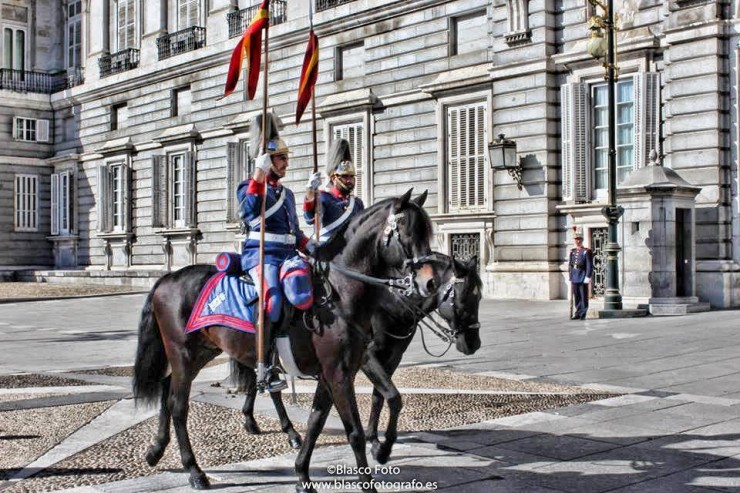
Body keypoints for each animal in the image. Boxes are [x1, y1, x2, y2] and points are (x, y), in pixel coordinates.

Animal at [132, 187, 440, 488]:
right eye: (407, 232)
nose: (430, 283)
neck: (339, 294)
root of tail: (167, 278)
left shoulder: (334, 373)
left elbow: (318, 421)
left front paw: (303, 474)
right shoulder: (339, 374)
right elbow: (354, 431)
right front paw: (369, 475)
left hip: (201, 351)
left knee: (167, 388)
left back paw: (156, 450)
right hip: (182, 353)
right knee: (178, 405)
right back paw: (194, 470)